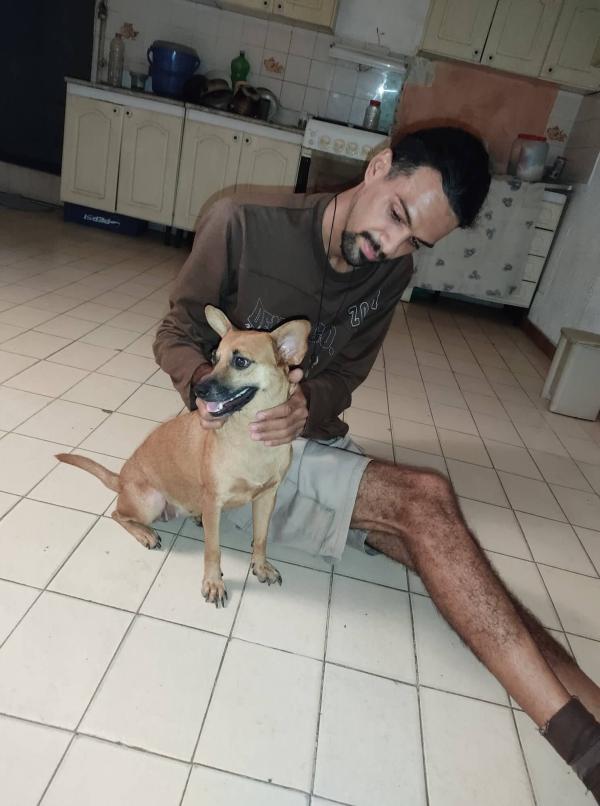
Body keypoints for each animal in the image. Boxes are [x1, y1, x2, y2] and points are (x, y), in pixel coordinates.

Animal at [56, 305, 310, 607]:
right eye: (214, 358)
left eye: (241, 362)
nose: (198, 390)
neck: (249, 436)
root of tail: (121, 480)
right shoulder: (214, 501)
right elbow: (213, 549)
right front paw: (213, 582)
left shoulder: (266, 497)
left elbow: (261, 538)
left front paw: (260, 566)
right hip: (150, 501)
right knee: (117, 514)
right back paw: (146, 533)